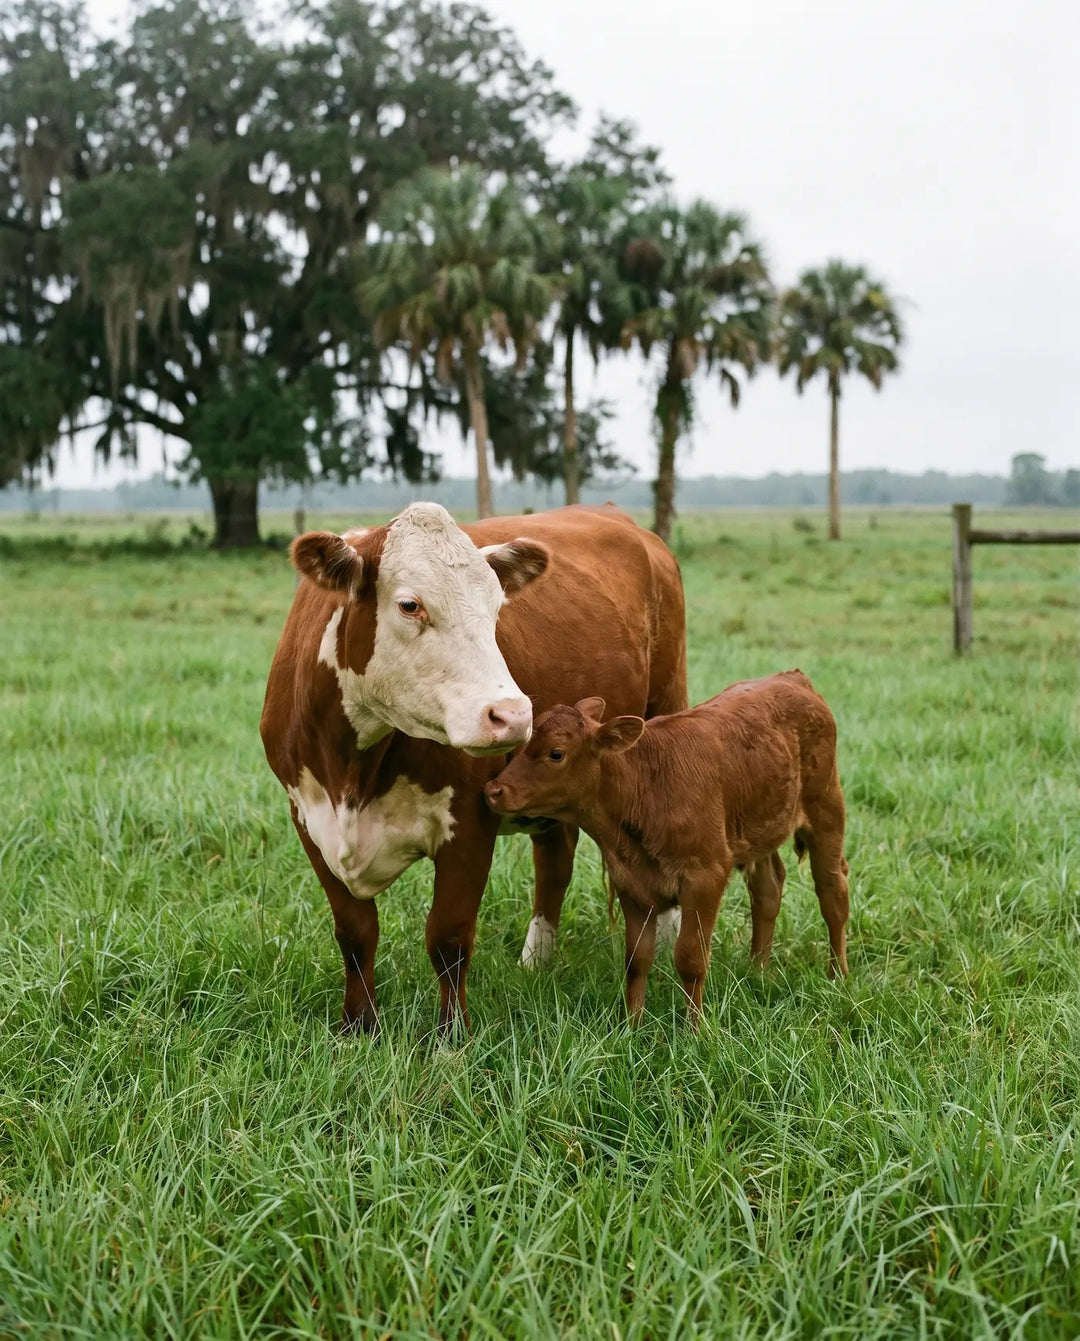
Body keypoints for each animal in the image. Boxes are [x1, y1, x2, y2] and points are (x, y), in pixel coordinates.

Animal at [260, 501, 687, 1035]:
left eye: (497, 608)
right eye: (410, 605)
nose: (514, 715)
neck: (351, 772)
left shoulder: (469, 820)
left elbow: (448, 937)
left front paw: (452, 1036)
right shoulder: (309, 819)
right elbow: (356, 934)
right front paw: (358, 1028)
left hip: (666, 702)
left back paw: (666, 941)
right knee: (554, 860)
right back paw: (536, 961)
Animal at [484, 670, 849, 1027]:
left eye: (556, 753)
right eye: (523, 744)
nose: (494, 790)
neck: (646, 787)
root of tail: (792, 678)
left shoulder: (706, 876)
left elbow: (690, 958)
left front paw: (694, 1030)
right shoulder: (630, 882)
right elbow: (636, 960)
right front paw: (632, 1026)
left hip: (826, 809)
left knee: (833, 893)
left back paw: (838, 977)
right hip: (761, 828)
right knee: (767, 889)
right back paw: (758, 971)